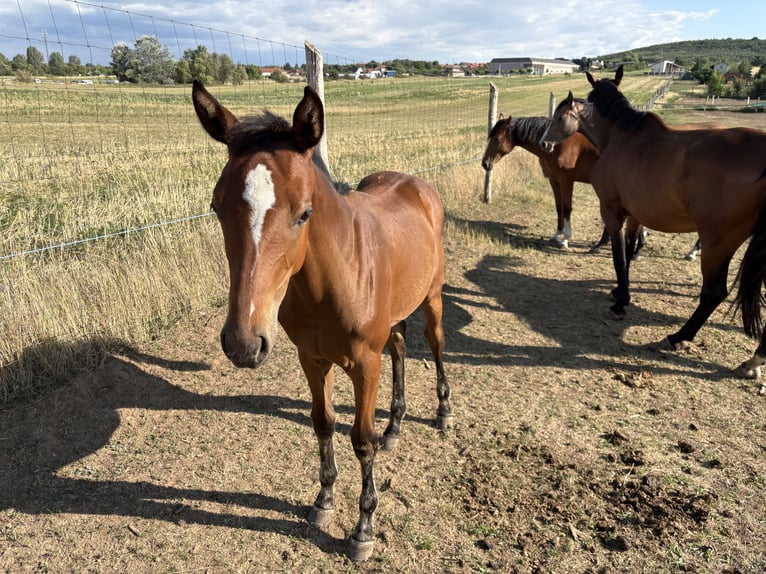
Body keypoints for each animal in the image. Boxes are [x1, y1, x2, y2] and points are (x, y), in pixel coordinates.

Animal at [191, 81, 453, 561]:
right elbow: (323, 422)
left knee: (436, 342)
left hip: (432, 296)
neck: (332, 282)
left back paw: (443, 412)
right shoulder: (312, 358)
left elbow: (362, 439)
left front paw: (363, 530)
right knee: (401, 347)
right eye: (217, 206)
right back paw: (396, 425)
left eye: (304, 212)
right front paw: (323, 502)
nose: (243, 343)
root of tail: (416, 184)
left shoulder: (365, 363)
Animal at [540, 65, 766, 378]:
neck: (622, 137)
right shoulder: (636, 214)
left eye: (560, 117)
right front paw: (620, 292)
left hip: (718, 242)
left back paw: (679, 336)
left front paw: (621, 302)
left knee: (713, 292)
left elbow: (618, 256)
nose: (545, 143)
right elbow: (629, 251)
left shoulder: (611, 210)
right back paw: (752, 362)